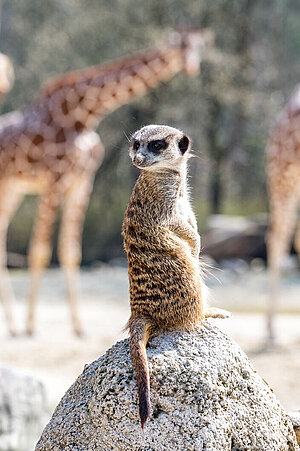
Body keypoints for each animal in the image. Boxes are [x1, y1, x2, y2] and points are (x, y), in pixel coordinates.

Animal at [0, 30, 212, 338]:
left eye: (200, 47)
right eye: (182, 46)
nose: (192, 68)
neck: (83, 113)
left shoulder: (82, 180)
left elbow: (71, 252)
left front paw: (78, 326)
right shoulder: (55, 178)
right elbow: (40, 251)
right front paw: (31, 326)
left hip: (14, 187)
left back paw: (13, 324)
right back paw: (17, 325)